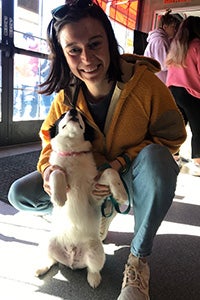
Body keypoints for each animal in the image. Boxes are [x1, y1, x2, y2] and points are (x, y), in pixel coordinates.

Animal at [35, 108, 127, 288]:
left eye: (82, 116)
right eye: (62, 115)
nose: (72, 110)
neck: (72, 152)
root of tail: (71, 259)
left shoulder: (94, 195)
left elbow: (110, 171)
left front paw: (120, 193)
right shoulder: (56, 170)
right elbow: (56, 172)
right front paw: (59, 197)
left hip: (96, 251)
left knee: (93, 269)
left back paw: (94, 280)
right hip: (49, 242)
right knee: (51, 260)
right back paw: (41, 268)